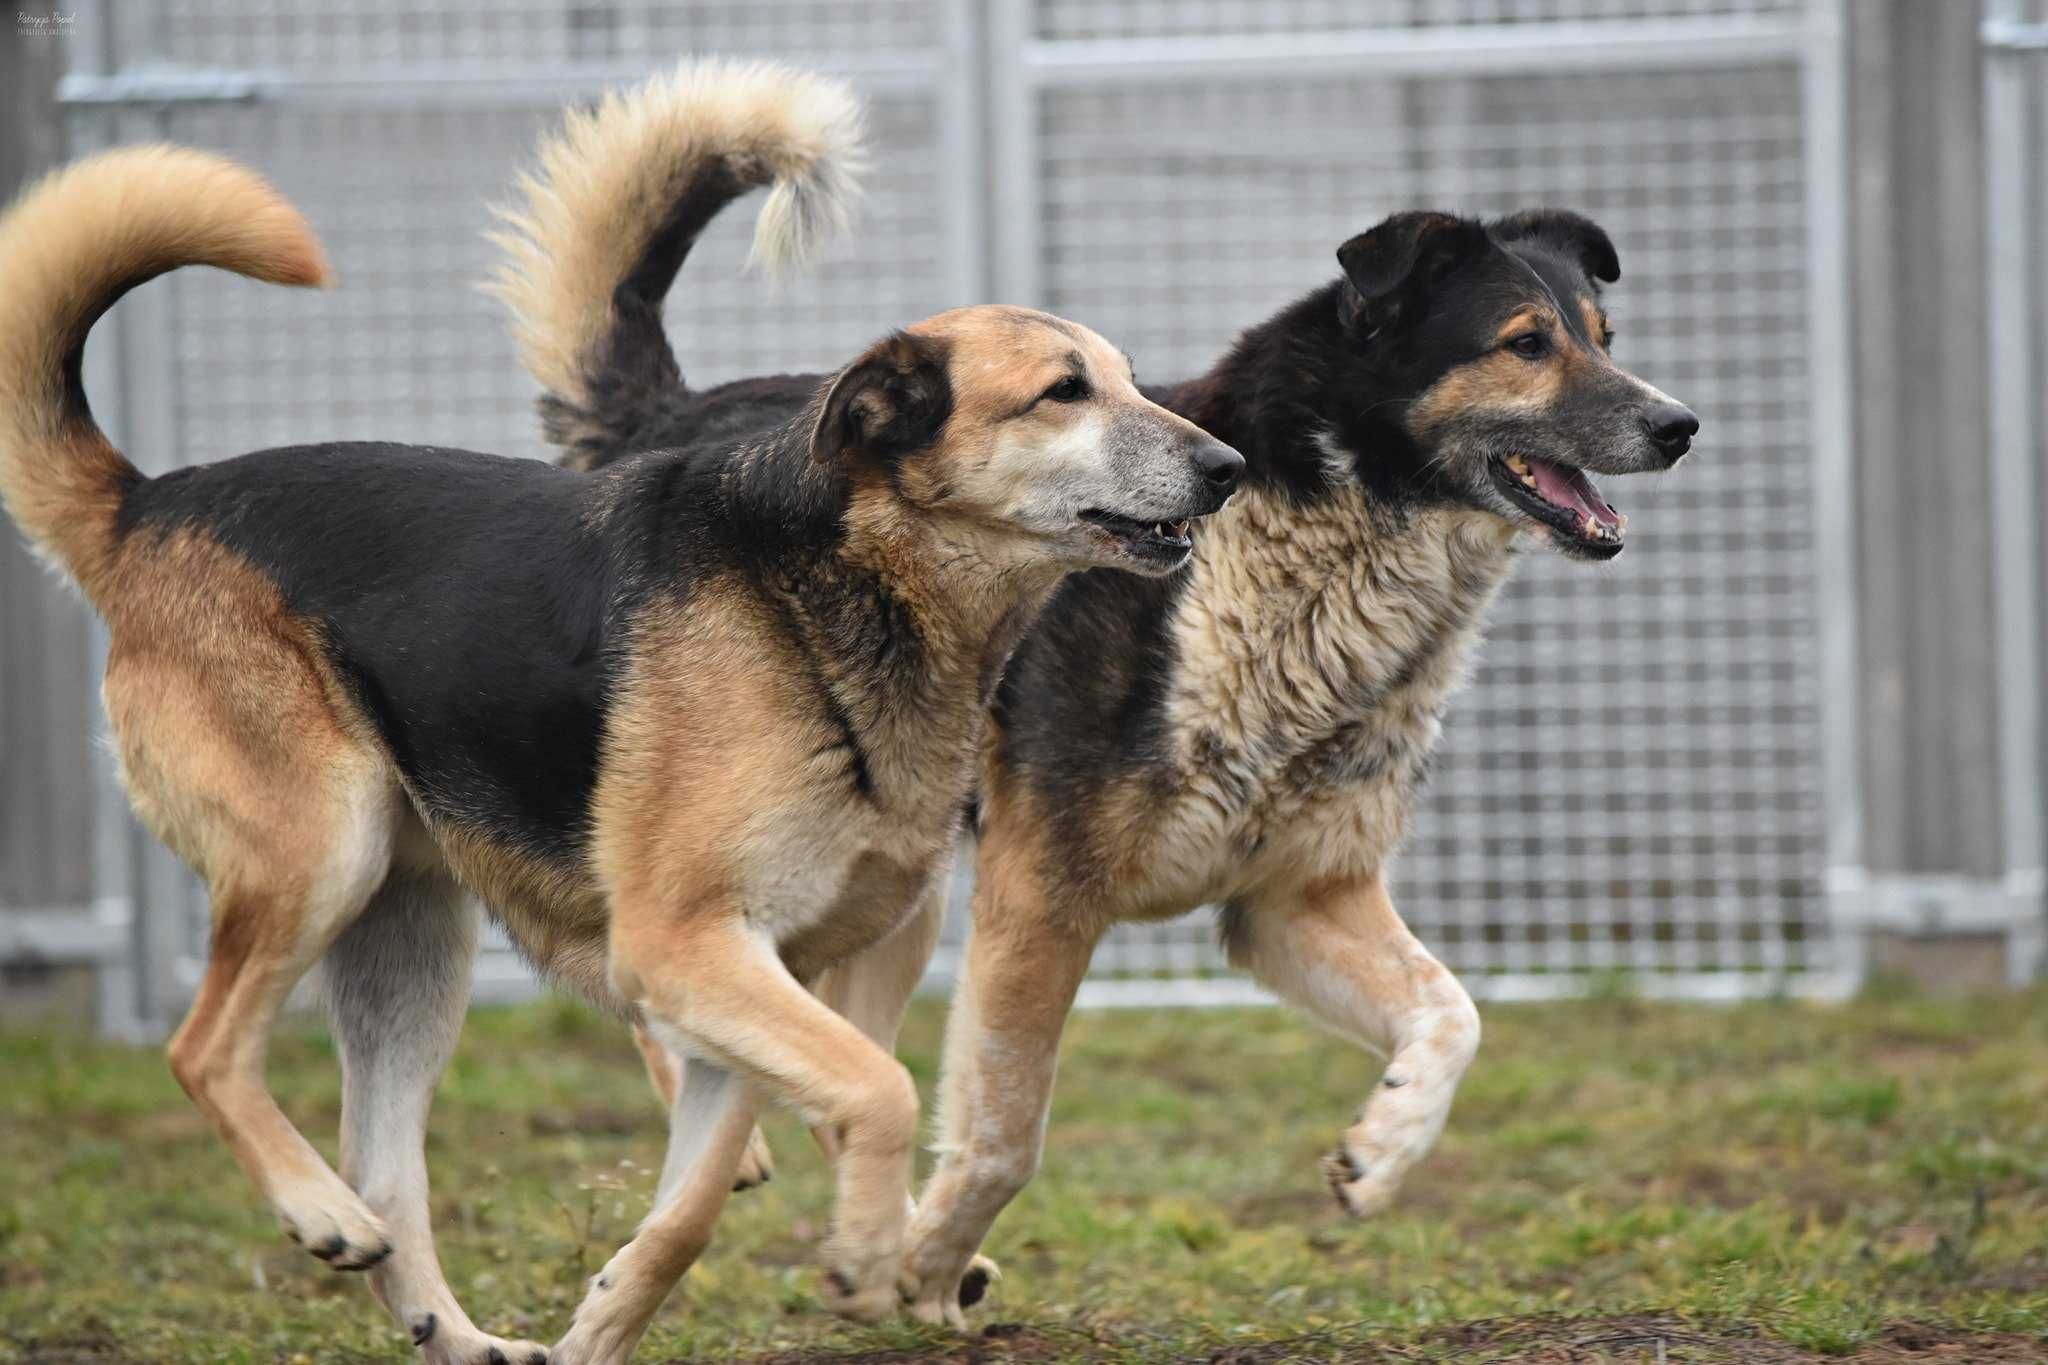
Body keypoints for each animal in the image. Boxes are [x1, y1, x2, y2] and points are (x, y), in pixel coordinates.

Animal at [0, 106, 1228, 1365]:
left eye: (1128, 381)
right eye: (1061, 392)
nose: (1229, 467)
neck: (837, 589)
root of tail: (149, 504)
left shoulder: (744, 978)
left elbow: (690, 1209)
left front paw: (603, 1327)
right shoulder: (682, 945)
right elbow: (879, 1086)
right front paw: (862, 1254)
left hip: (410, 943)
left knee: (386, 1169)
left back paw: (451, 1326)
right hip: (315, 859)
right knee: (202, 1051)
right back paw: (316, 1211)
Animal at [491, 61, 1695, 1326]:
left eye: (1603, 336)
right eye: (1523, 343)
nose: (1679, 424)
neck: (1298, 557)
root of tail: (667, 419)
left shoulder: (1296, 899)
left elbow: (1452, 1013)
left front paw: (1380, 1154)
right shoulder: (1042, 900)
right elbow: (1005, 1133)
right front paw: (923, 1262)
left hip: (890, 890)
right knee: (652, 958)